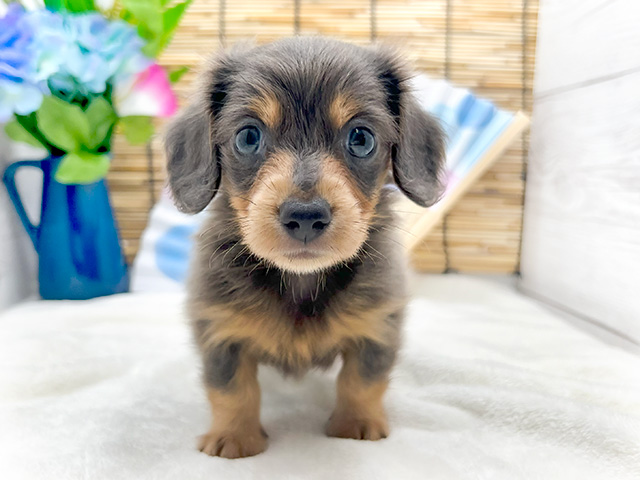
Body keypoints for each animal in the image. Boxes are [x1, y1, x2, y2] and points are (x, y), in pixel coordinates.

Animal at [165, 36, 444, 458]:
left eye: (361, 138)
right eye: (248, 136)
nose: (306, 216)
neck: (300, 280)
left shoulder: (378, 325)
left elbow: (362, 381)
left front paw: (356, 425)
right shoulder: (220, 330)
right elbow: (231, 390)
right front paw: (234, 438)